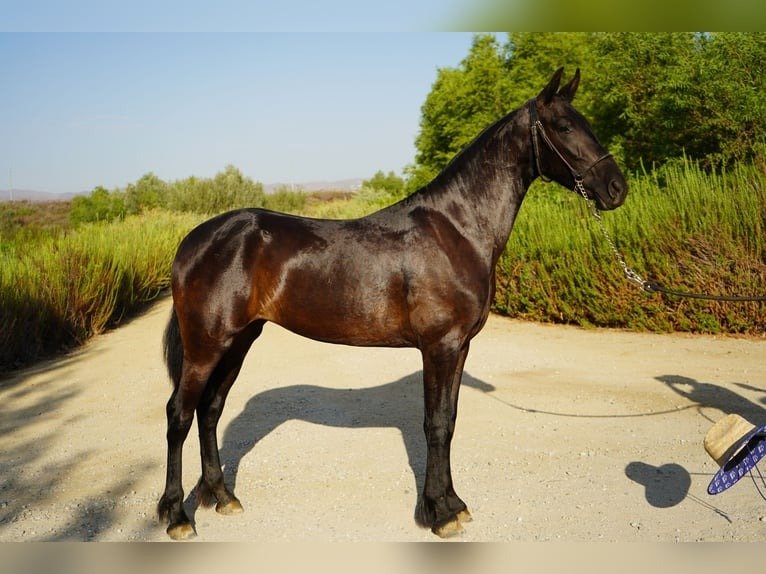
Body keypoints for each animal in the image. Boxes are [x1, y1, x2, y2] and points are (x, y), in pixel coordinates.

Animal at [157, 68, 628, 540]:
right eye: (564, 126)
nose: (616, 188)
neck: (456, 229)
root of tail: (193, 240)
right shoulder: (439, 346)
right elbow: (434, 424)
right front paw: (439, 513)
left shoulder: (460, 347)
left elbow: (449, 421)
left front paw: (453, 504)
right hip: (206, 344)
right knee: (179, 413)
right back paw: (176, 515)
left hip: (238, 340)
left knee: (210, 410)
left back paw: (223, 497)